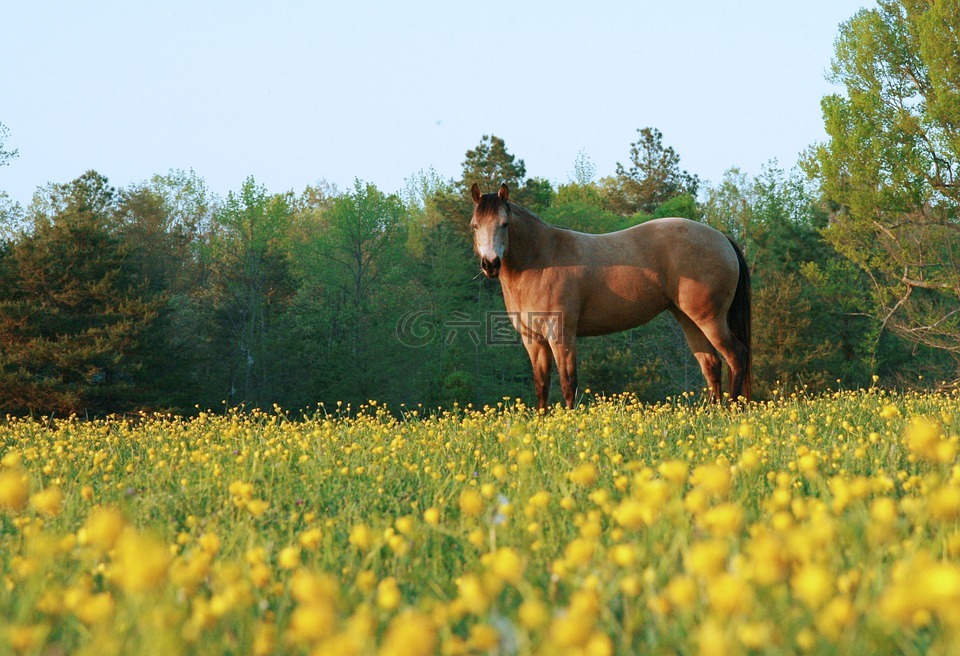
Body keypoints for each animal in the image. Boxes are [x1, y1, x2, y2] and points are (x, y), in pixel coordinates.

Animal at [470, 183, 752, 410]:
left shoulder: (561, 335)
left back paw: (733, 410)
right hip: (689, 320)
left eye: (505, 224)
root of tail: (722, 238)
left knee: (736, 356)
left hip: (711, 320)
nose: (490, 264)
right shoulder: (533, 339)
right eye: (475, 226)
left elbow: (568, 382)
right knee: (712, 365)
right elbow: (541, 385)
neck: (541, 260)